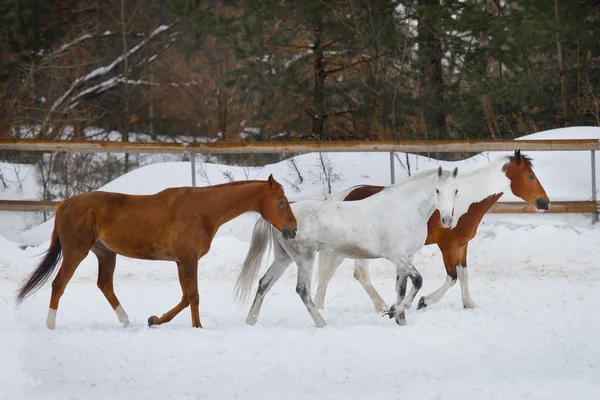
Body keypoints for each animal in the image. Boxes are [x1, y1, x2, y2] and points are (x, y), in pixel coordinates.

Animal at [17, 174, 298, 328]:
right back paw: (51, 324)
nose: (293, 230)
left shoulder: (181, 262)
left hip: (106, 253)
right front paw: (198, 327)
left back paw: (126, 321)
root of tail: (66, 203)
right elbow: (193, 296)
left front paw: (155, 319)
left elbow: (185, 297)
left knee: (104, 285)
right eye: (281, 201)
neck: (201, 210)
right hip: (77, 251)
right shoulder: (188, 260)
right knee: (59, 283)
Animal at [234, 167, 460, 326]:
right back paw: (322, 324)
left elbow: (401, 288)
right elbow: (418, 281)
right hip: (305, 258)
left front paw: (400, 319)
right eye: (437, 190)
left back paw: (250, 322)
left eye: (456, 190)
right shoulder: (397, 256)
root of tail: (282, 218)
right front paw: (394, 311)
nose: (447, 220)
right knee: (302, 290)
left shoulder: (407, 257)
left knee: (264, 283)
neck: (403, 208)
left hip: (284, 258)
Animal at [316, 150, 552, 312]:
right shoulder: (447, 246)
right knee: (359, 274)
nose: (545, 202)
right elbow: (452, 277)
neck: (462, 201)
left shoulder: (461, 245)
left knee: (333, 275)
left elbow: (463, 275)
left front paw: (469, 304)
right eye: (531, 176)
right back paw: (383, 306)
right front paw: (424, 301)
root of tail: (344, 195)